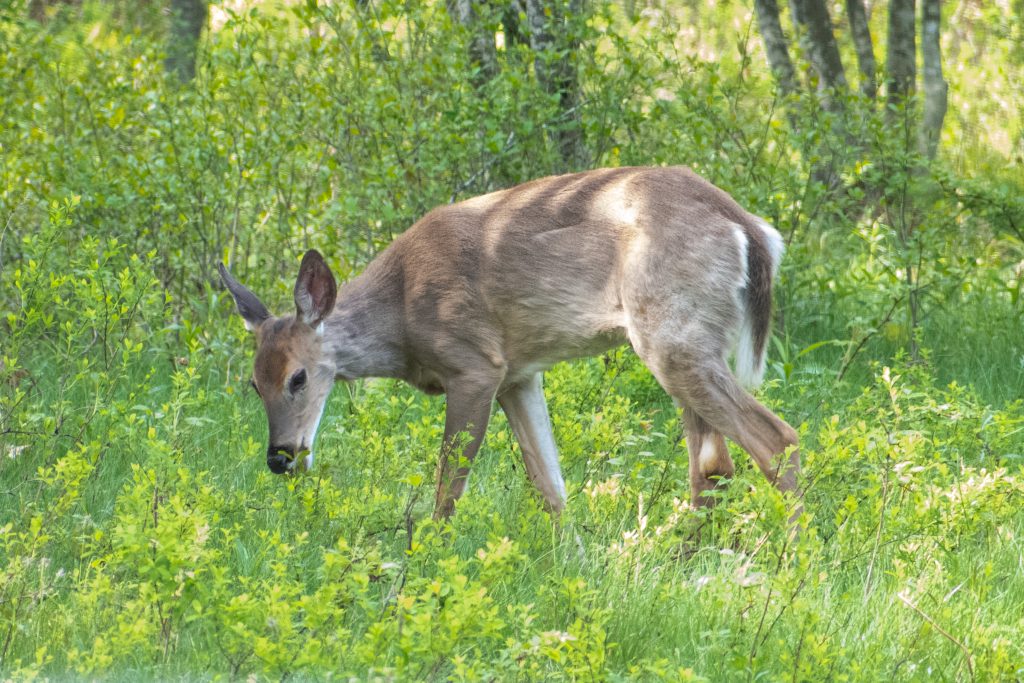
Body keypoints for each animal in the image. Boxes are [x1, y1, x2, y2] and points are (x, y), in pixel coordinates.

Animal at [219, 166, 801, 521]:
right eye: (253, 383)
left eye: (298, 377)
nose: (279, 457)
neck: (402, 317)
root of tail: (751, 229)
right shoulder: (519, 373)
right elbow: (550, 486)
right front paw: (575, 569)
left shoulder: (475, 363)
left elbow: (449, 486)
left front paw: (425, 562)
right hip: (687, 340)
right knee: (713, 466)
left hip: (671, 336)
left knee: (777, 440)